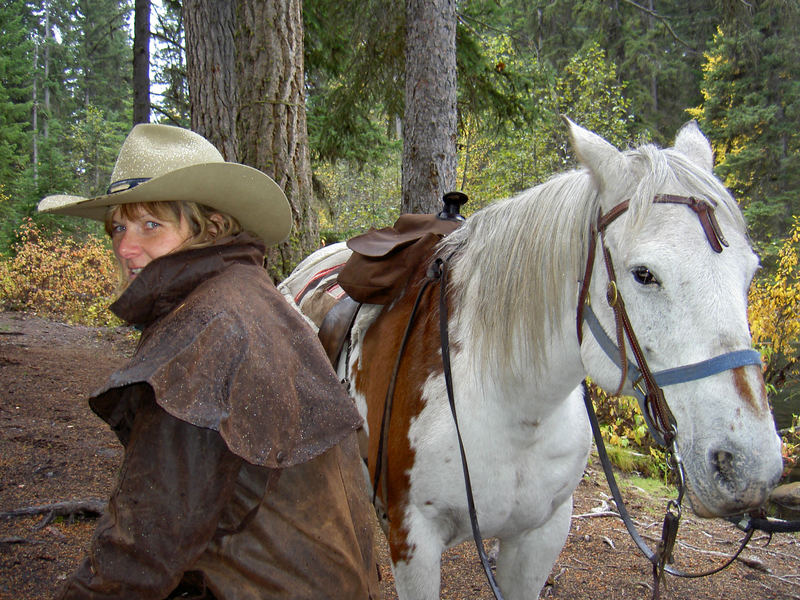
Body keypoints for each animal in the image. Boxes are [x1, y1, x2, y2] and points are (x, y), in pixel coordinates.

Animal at [280, 118, 780, 600]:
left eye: (750, 272)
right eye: (643, 274)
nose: (747, 466)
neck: (514, 410)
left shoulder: (540, 536)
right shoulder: (412, 541)